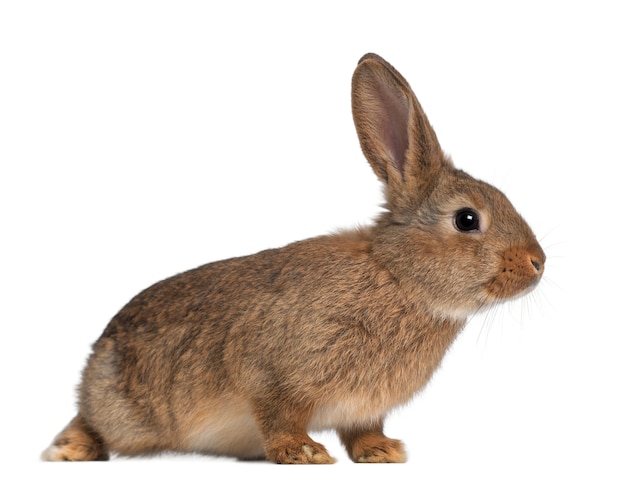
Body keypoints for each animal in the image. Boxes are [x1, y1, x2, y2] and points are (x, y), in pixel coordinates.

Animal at [41, 54, 544, 466]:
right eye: (466, 219)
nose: (538, 263)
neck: (397, 277)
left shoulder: (363, 409)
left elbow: (363, 430)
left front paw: (382, 451)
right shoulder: (269, 372)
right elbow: (277, 415)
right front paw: (304, 452)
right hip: (126, 410)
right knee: (90, 419)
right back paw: (69, 449)